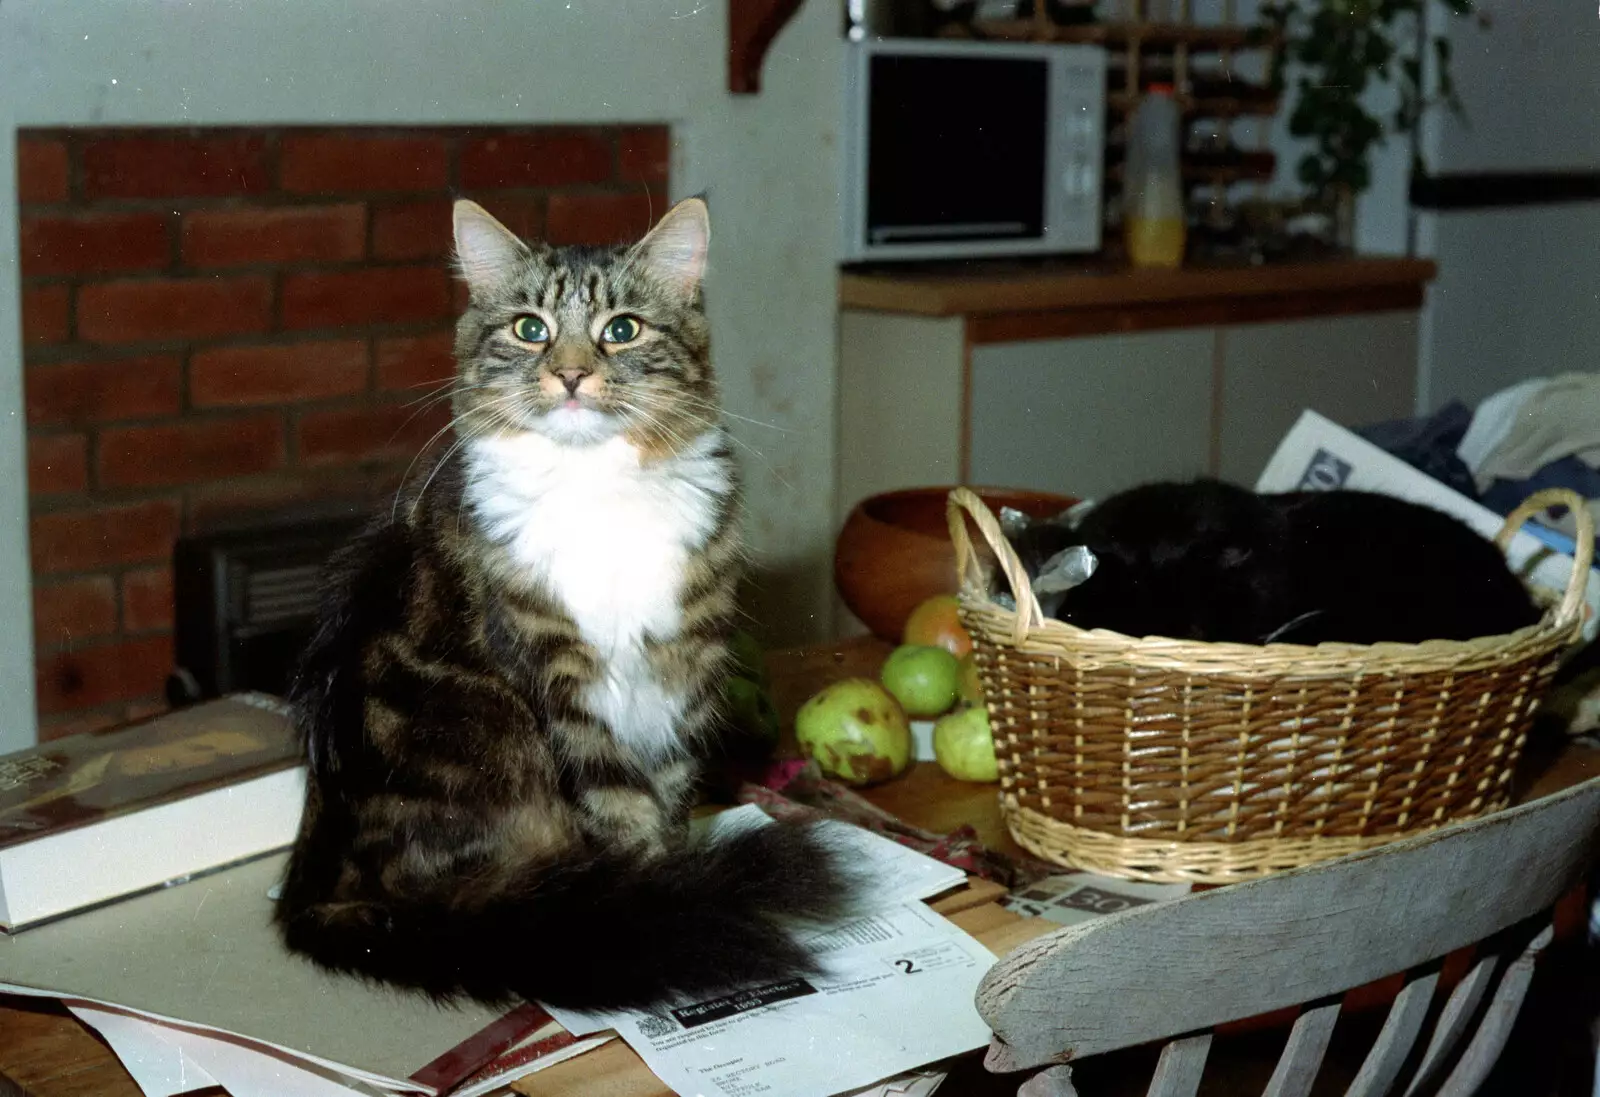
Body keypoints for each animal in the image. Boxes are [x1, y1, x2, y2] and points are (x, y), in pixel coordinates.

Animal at [275, 197, 857, 1017]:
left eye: (622, 328)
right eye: (530, 328)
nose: (572, 373)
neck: (598, 488)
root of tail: (314, 882)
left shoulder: (682, 674)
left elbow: (666, 804)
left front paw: (675, 890)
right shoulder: (561, 683)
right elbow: (621, 815)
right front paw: (663, 913)